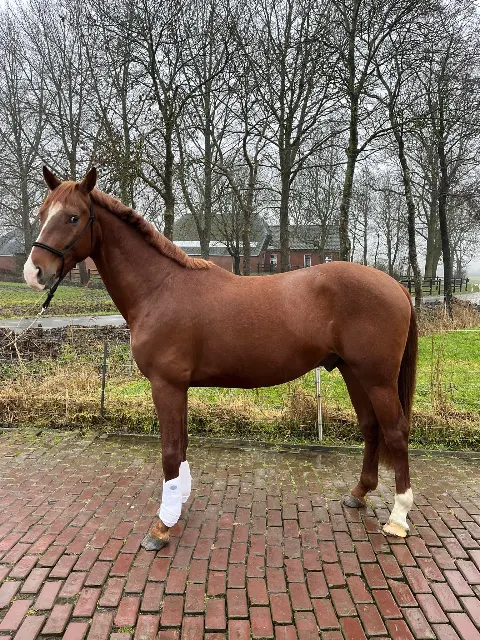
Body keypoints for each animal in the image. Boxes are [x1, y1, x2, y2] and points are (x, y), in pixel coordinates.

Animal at [24, 167, 418, 548]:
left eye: (73, 217)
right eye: (42, 214)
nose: (34, 271)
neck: (160, 287)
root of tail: (397, 286)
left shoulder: (166, 385)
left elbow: (170, 450)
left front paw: (162, 527)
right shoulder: (178, 386)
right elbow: (181, 444)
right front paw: (178, 504)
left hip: (377, 378)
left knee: (396, 432)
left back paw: (398, 518)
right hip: (353, 372)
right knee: (371, 427)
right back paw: (359, 493)